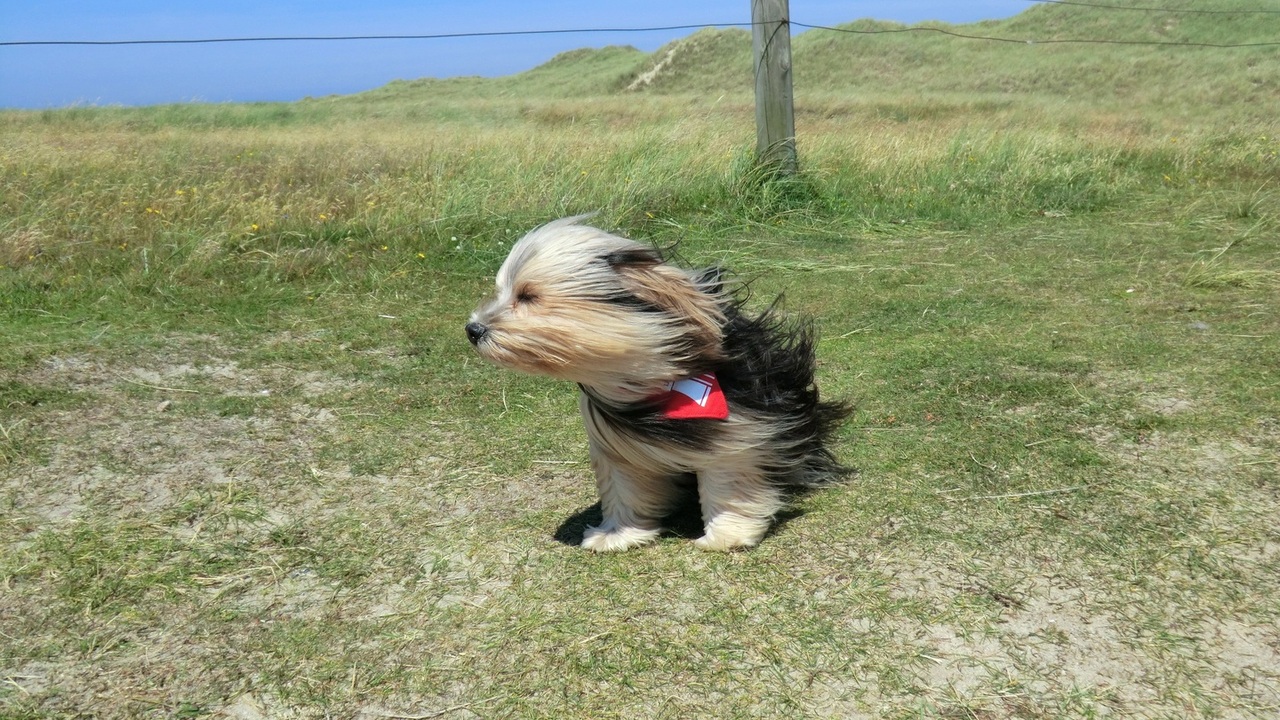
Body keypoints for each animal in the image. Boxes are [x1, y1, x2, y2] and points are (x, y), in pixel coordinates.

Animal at [463, 212, 849, 548]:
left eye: (528, 295)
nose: (473, 330)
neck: (648, 377)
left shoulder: (740, 429)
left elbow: (728, 479)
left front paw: (727, 535)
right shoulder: (616, 446)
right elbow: (624, 487)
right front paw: (618, 534)